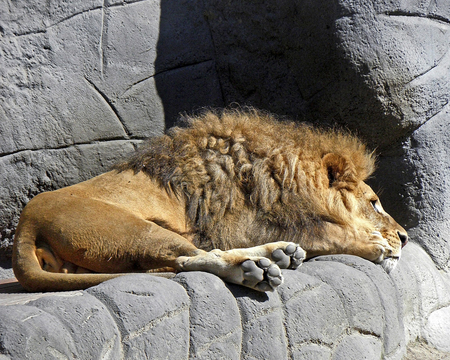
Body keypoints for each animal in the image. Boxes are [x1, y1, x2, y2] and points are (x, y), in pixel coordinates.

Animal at [13, 109, 408, 292]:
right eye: (374, 203)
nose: (405, 237)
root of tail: (24, 227)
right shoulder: (244, 224)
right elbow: (329, 234)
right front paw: (376, 245)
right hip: (134, 230)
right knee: (190, 259)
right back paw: (254, 270)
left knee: (172, 265)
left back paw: (280, 254)